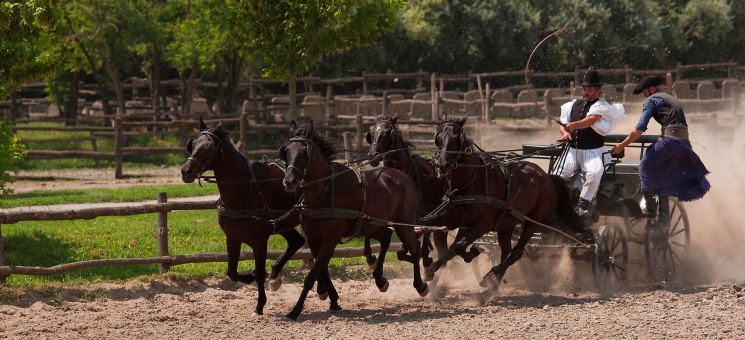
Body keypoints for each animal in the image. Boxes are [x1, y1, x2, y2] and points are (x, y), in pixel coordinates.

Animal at [180, 119, 306, 316]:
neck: (244, 188)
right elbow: (232, 272)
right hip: (284, 223)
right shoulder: (232, 237)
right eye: (192, 145)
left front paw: (259, 305)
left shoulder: (259, 241)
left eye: (209, 147)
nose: (186, 171)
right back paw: (276, 276)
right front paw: (250, 276)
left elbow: (260, 273)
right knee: (297, 242)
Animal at [280, 119, 430, 322]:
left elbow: (312, 275)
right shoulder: (313, 239)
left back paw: (420, 285)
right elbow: (322, 269)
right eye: (286, 150)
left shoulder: (330, 239)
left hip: (403, 224)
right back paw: (380, 279)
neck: (324, 191)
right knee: (385, 238)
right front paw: (332, 299)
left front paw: (295, 310)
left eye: (305, 150)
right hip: (374, 223)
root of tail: (404, 177)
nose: (289, 182)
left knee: (414, 247)